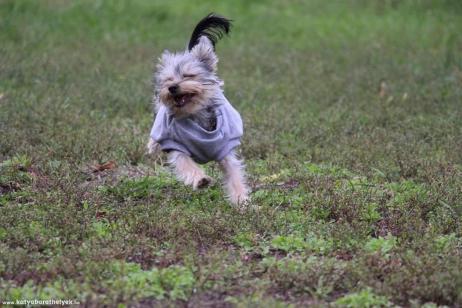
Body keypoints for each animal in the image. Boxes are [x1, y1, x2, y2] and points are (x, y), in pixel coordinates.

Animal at [147, 12, 249, 207]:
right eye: (168, 79)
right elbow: (185, 163)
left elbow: (234, 175)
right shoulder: (175, 144)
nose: (172, 87)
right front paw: (201, 180)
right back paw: (152, 145)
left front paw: (242, 201)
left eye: (189, 75)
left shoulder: (225, 150)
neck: (195, 114)